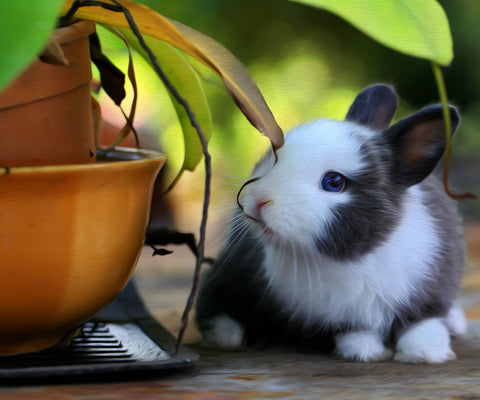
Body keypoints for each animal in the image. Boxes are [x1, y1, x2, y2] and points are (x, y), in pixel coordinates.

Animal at [194, 83, 464, 362]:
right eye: (272, 156)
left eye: (334, 182)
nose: (258, 200)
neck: (353, 259)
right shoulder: (342, 317)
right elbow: (355, 331)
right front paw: (365, 352)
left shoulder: (431, 289)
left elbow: (423, 323)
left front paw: (424, 353)